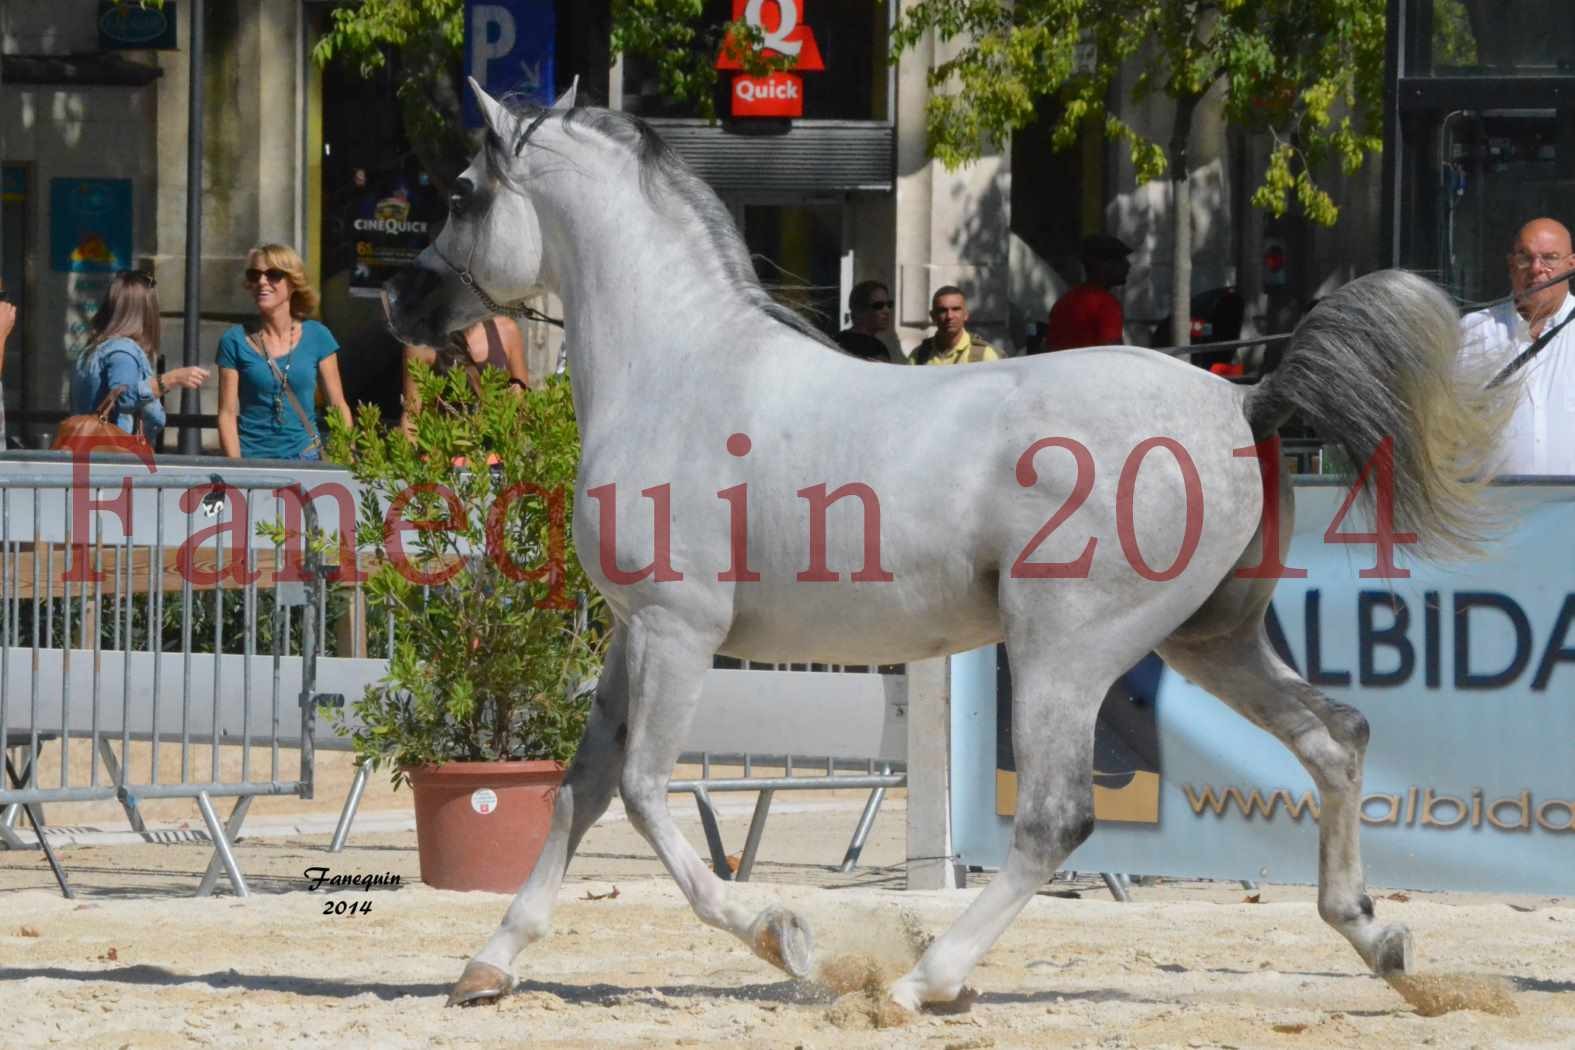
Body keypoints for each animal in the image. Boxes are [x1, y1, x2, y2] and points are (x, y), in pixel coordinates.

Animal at [384, 84, 1512, 1020]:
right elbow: (578, 787)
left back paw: (926, 980)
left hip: (1064, 649)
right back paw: (1382, 943)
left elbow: (645, 794)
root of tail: (1242, 400)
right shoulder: (632, 634)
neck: (682, 369)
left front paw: (784, 938)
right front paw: (488, 965)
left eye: (462, 192)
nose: (403, 304)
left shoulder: (679, 629)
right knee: (1335, 738)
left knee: (1056, 819)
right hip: (1208, 640)